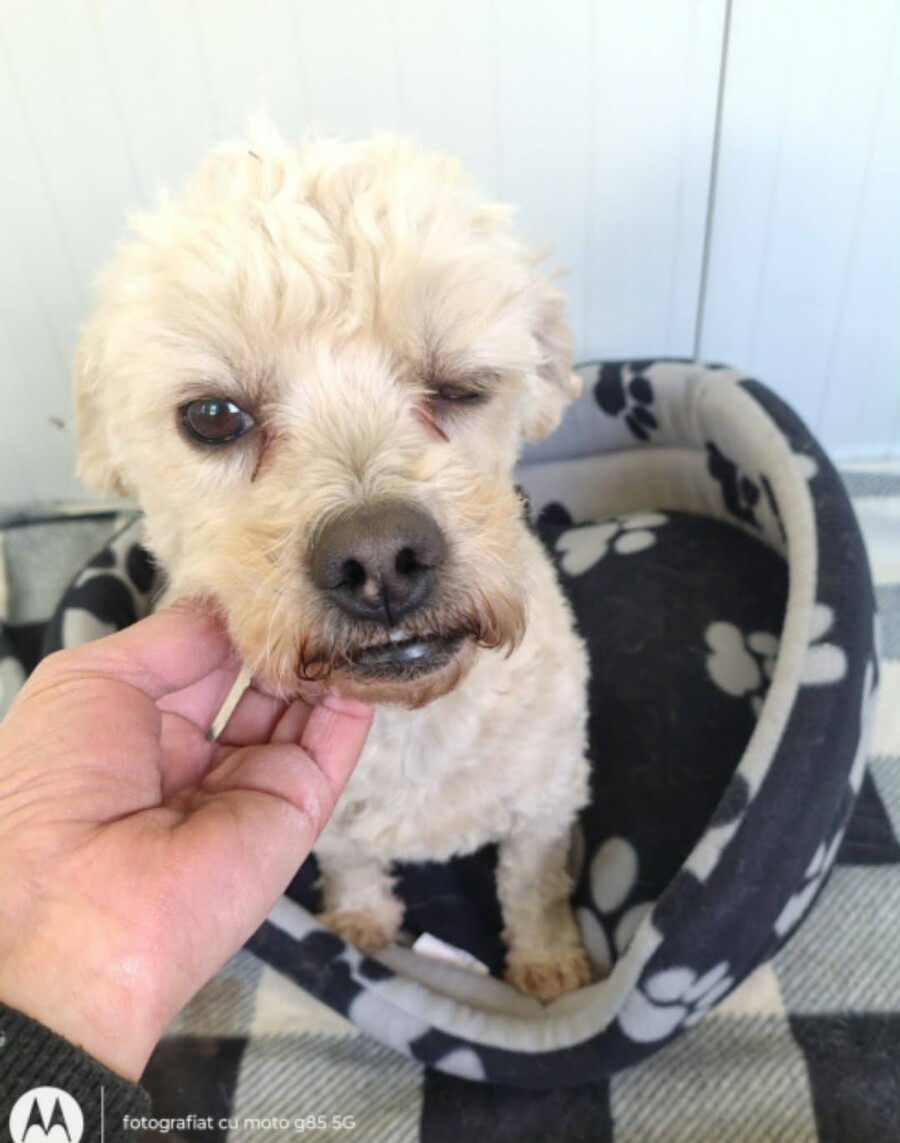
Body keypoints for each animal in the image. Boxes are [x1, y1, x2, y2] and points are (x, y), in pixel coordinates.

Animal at [73, 131, 592, 1000]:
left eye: (463, 384)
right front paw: (359, 923)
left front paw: (550, 962)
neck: (411, 725)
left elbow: (535, 881)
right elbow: (351, 861)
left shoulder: (546, 800)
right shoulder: (337, 824)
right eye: (212, 415)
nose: (382, 558)